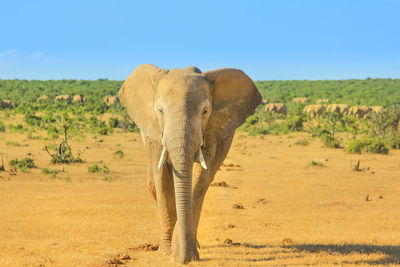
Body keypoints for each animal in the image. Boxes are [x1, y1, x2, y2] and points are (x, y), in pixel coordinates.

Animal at [119, 64, 260, 264]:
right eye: (160, 111)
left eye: (205, 111)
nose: (182, 259)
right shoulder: (154, 132)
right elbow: (162, 179)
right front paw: (166, 253)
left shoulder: (211, 131)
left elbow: (200, 179)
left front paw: (186, 255)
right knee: (153, 185)